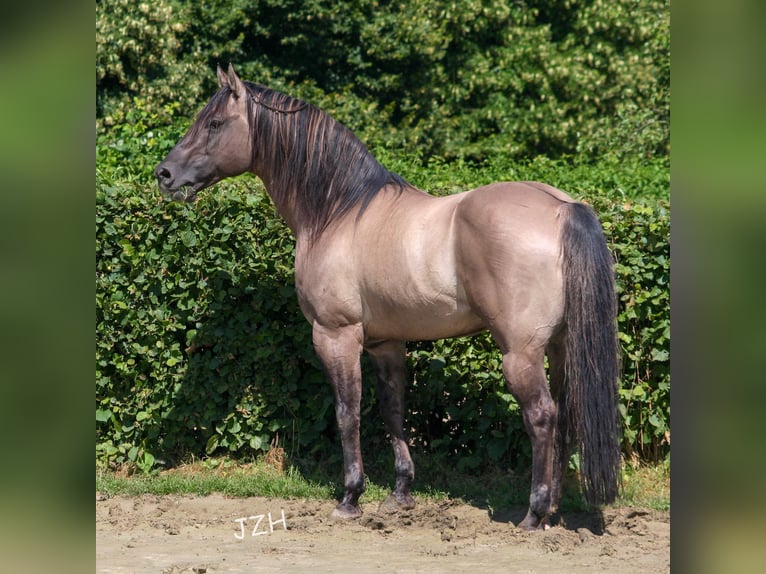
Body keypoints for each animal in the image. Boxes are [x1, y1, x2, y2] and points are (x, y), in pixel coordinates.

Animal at [155, 64, 621, 530]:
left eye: (215, 124)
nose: (165, 175)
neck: (337, 211)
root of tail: (561, 208)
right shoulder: (385, 343)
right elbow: (393, 412)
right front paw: (400, 494)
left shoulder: (336, 335)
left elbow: (348, 413)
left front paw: (350, 496)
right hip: (560, 346)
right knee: (565, 417)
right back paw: (552, 510)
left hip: (520, 352)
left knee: (542, 416)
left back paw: (534, 513)